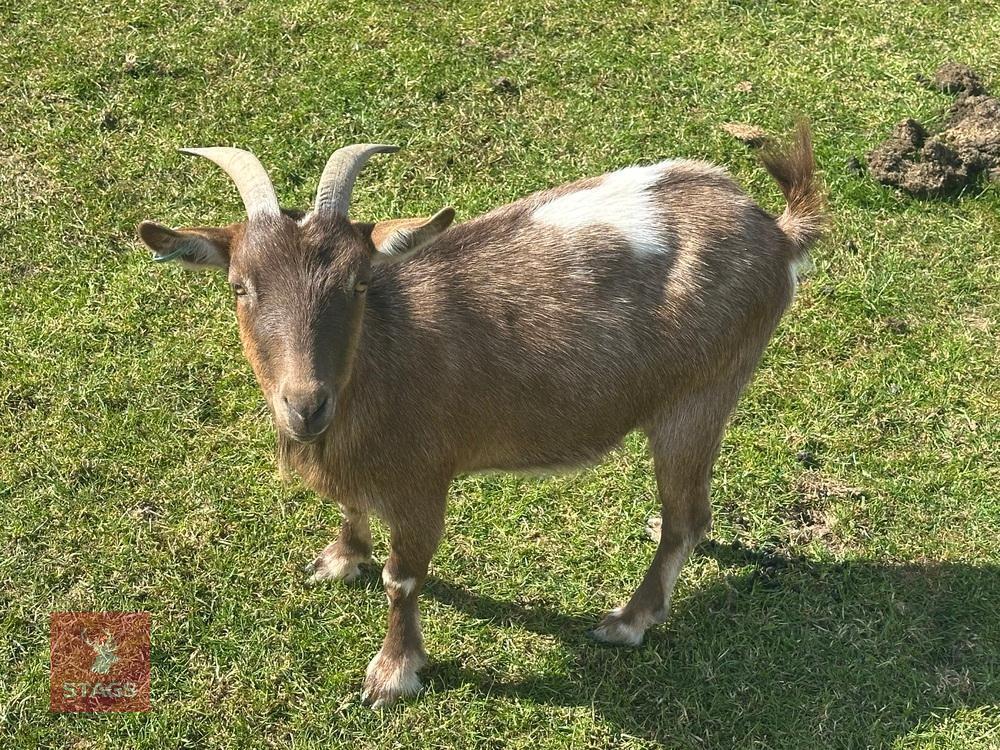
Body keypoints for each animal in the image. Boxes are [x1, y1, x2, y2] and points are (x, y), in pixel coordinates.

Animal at [138, 123, 825, 707]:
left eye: (358, 283)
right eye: (240, 286)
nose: (307, 405)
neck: (386, 351)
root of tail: (778, 234)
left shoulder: (423, 479)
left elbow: (402, 578)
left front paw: (393, 673)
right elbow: (352, 508)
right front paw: (339, 559)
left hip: (700, 395)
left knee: (686, 517)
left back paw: (627, 621)